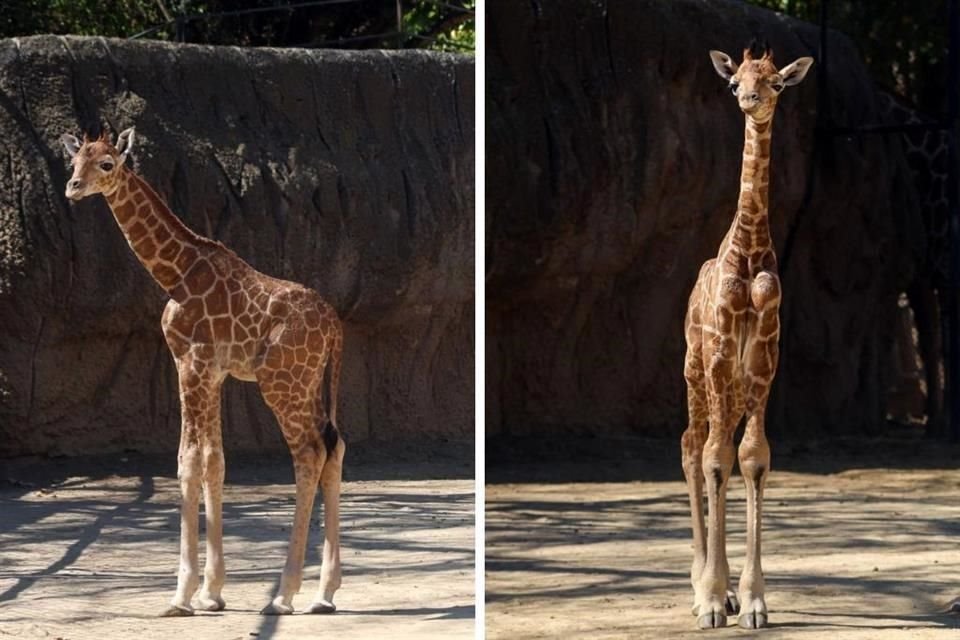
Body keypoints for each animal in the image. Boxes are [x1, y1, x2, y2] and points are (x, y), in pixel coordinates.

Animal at [60, 129, 344, 616]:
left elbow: (187, 461)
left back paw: (284, 595)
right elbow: (215, 460)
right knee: (334, 446)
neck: (175, 274)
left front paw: (181, 594)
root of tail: (335, 327)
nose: (73, 188)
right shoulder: (214, 373)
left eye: (107, 164)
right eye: (74, 160)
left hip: (280, 383)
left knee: (309, 454)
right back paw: (324, 593)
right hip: (308, 382)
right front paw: (212, 592)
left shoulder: (190, 362)